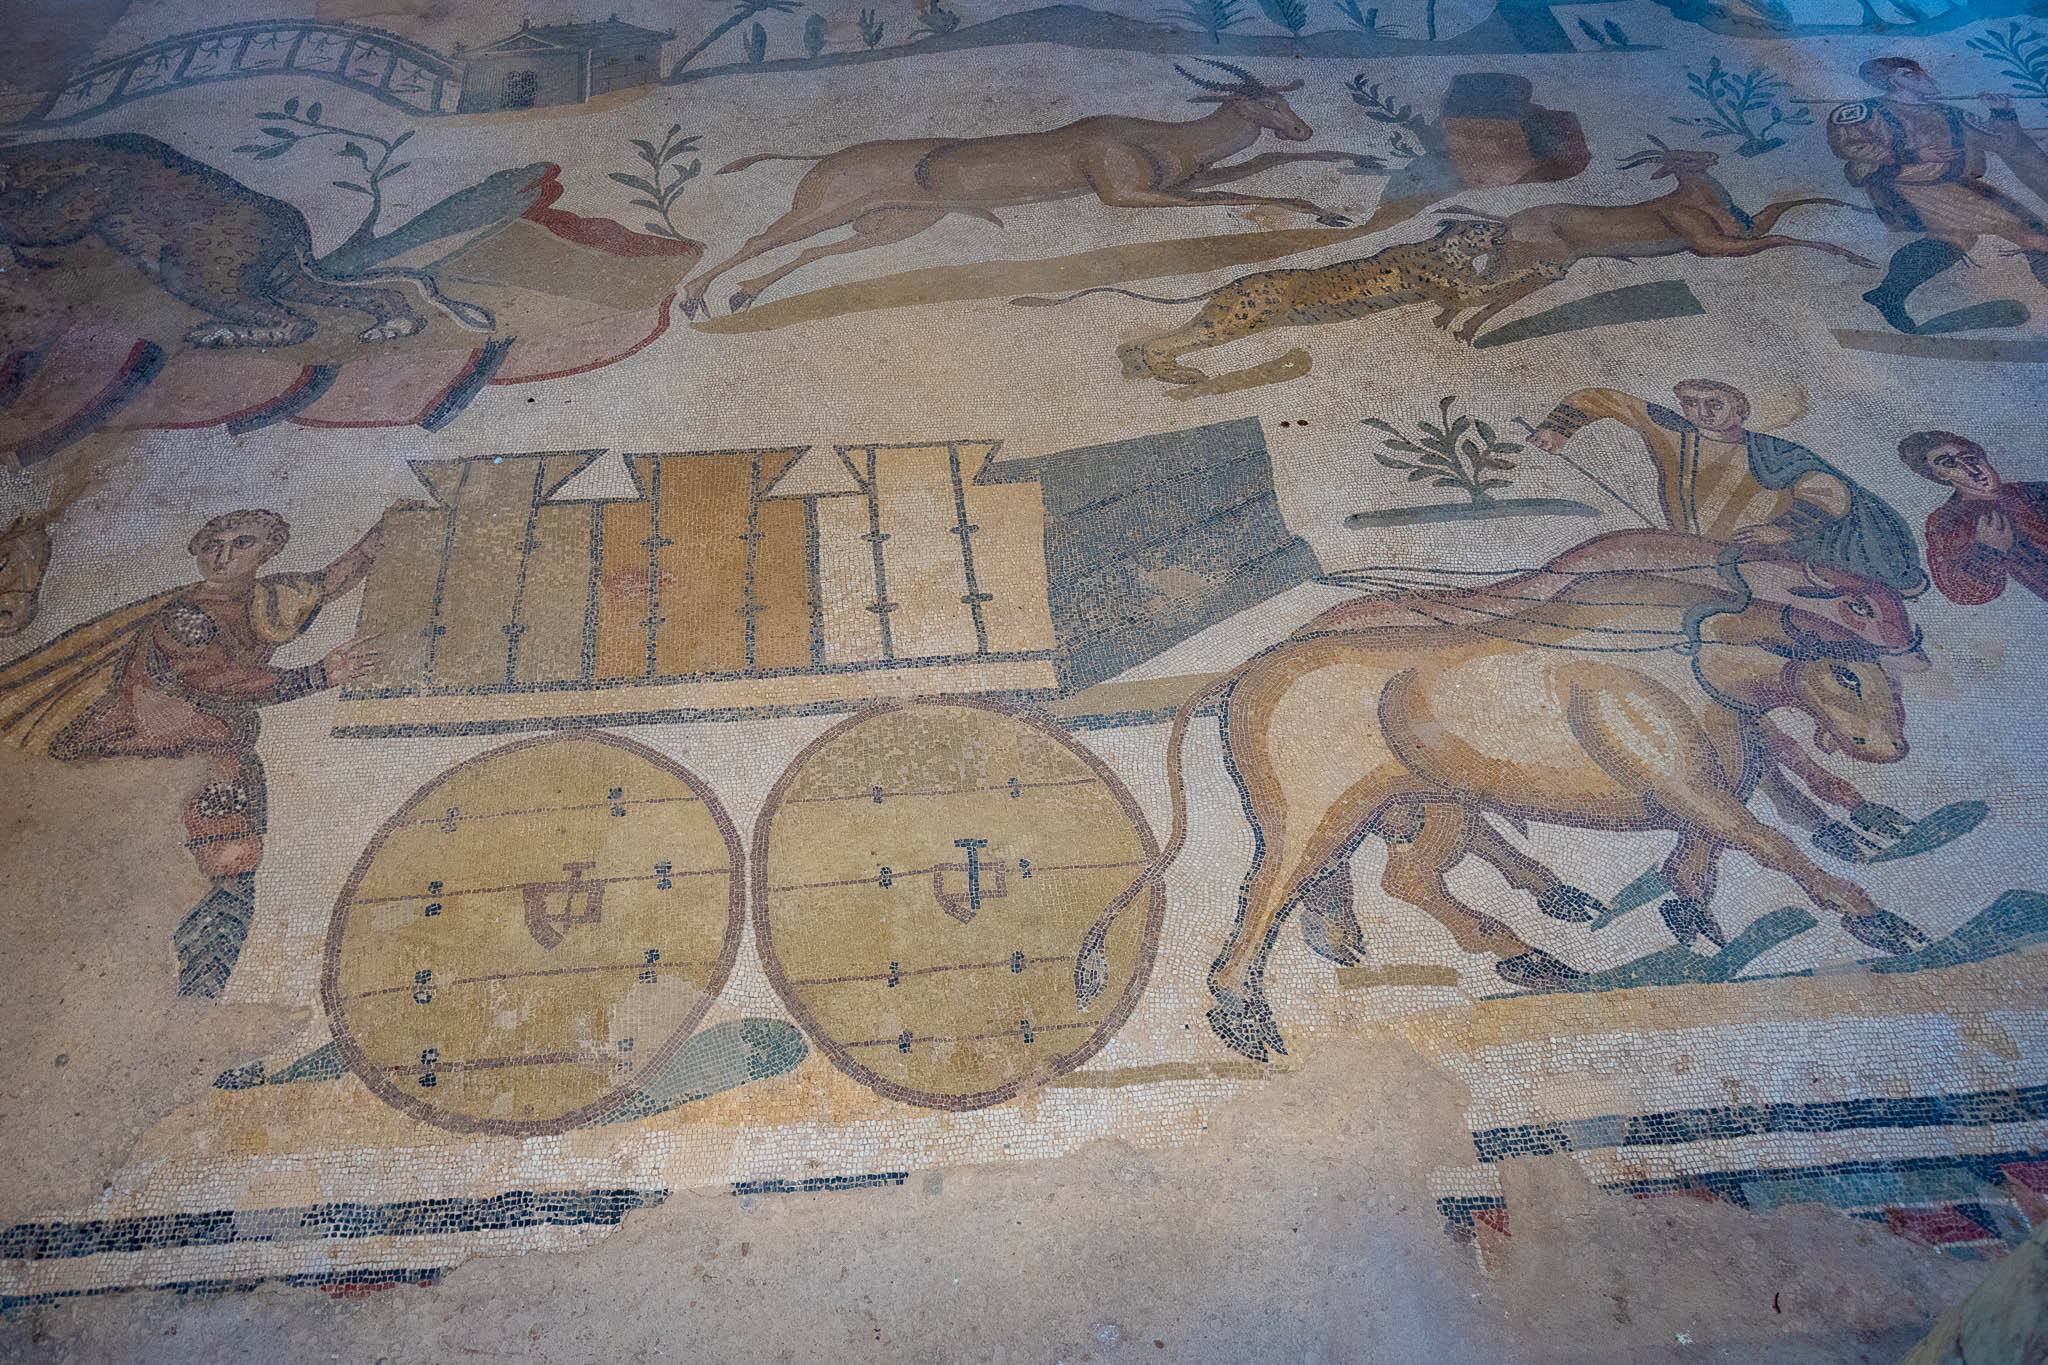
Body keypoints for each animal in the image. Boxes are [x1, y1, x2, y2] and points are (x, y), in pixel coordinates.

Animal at [679, 59, 1359, 318]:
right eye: (1263, 100)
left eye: (1284, 98)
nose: (1303, 126)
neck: (1166, 136)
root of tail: (827, 156)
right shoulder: (1123, 195)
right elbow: (1226, 197)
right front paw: (1326, 212)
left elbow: (1244, 178)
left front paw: (1334, 193)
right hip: (825, 207)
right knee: (759, 238)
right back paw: (694, 298)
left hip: (892, 225)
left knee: (818, 250)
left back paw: (742, 295)